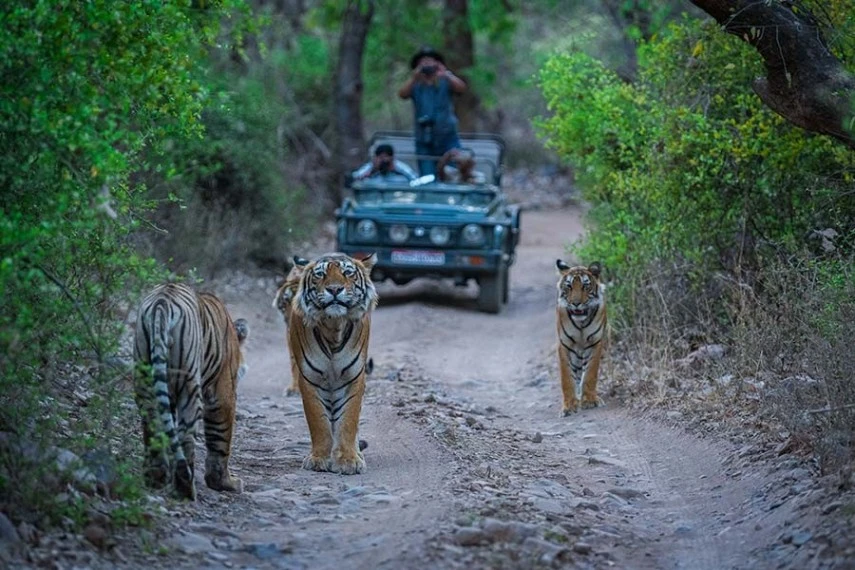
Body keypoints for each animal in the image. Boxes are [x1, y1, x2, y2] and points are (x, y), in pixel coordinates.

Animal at [132, 282, 249, 496]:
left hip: (145, 378)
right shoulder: (222, 393)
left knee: (154, 426)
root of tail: (162, 302)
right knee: (185, 435)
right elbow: (220, 438)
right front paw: (225, 482)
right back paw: (185, 489)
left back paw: (157, 479)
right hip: (190, 386)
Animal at [288, 251, 378, 472]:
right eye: (320, 274)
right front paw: (319, 458)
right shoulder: (309, 379)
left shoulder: (354, 377)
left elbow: (348, 420)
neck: (333, 327)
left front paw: (348, 460)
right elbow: (318, 422)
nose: (335, 289)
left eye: (348, 273)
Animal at [560, 260, 604, 414]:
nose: (576, 303)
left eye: (585, 286)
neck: (581, 324)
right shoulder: (565, 345)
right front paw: (569, 406)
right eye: (569, 286)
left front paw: (589, 400)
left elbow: (590, 373)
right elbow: (566, 377)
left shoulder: (595, 343)